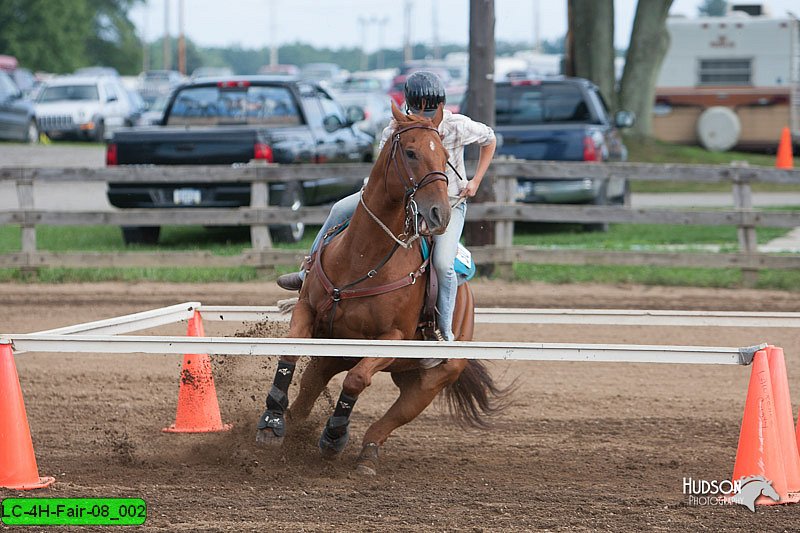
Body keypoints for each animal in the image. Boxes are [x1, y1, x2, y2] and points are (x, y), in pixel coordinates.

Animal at [256, 103, 506, 474]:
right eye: (411, 152)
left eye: (445, 155)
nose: (440, 214)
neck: (361, 257)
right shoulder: (309, 313)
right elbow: (289, 353)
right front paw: (272, 422)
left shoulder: (393, 339)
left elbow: (357, 381)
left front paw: (333, 437)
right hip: (336, 352)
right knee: (312, 383)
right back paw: (294, 425)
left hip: (430, 380)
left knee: (393, 417)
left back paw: (366, 454)